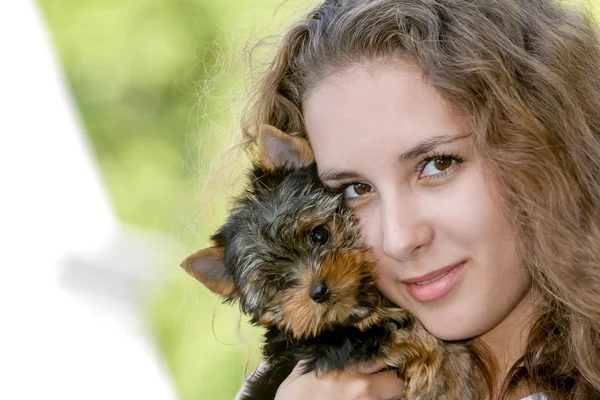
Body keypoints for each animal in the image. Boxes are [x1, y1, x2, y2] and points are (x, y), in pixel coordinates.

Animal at [180, 123, 476, 398]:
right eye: (278, 282)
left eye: (319, 234)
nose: (319, 291)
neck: (357, 308)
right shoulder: (334, 345)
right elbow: (400, 333)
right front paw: (447, 367)